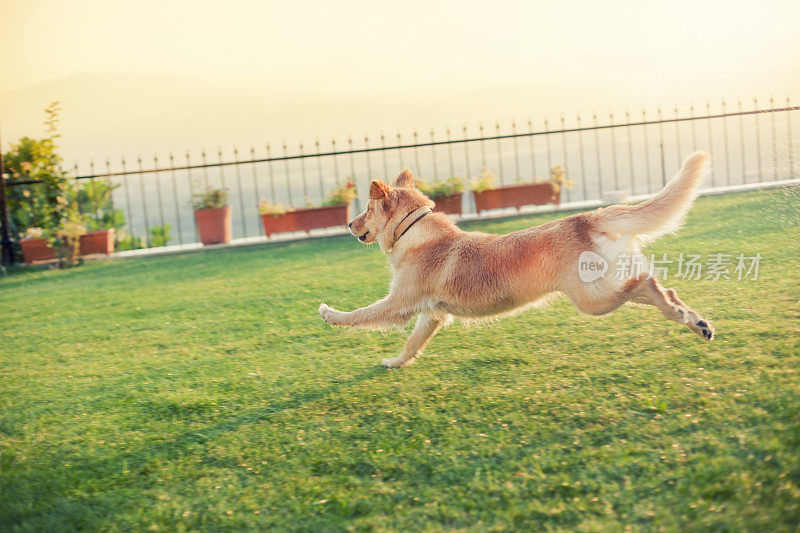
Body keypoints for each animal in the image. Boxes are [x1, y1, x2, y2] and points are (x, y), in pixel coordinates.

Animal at [318, 150, 712, 366]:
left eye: (365, 210)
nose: (348, 223)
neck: (415, 231)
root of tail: (586, 218)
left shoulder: (400, 302)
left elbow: (361, 314)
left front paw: (330, 314)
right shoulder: (433, 314)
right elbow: (413, 343)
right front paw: (396, 363)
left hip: (593, 298)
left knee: (648, 283)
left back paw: (682, 315)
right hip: (604, 287)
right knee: (659, 287)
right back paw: (695, 322)